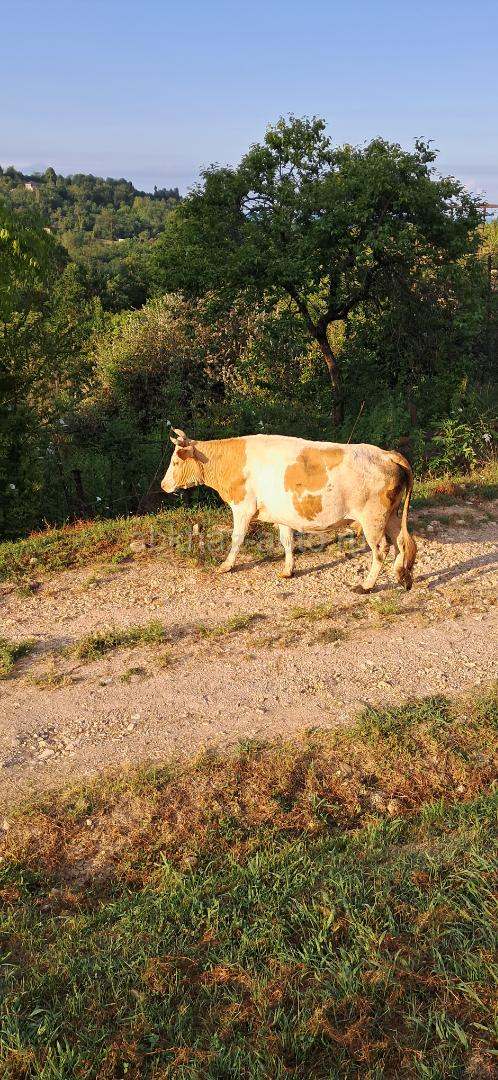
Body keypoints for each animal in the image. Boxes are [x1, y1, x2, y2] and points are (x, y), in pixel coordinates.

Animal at [161, 429, 417, 592]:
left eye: (175, 462)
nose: (163, 485)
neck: (232, 462)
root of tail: (386, 454)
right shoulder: (282, 513)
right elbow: (287, 541)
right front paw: (288, 570)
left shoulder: (243, 507)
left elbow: (237, 538)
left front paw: (226, 566)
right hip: (390, 515)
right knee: (401, 542)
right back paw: (401, 577)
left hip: (372, 517)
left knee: (381, 548)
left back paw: (367, 585)